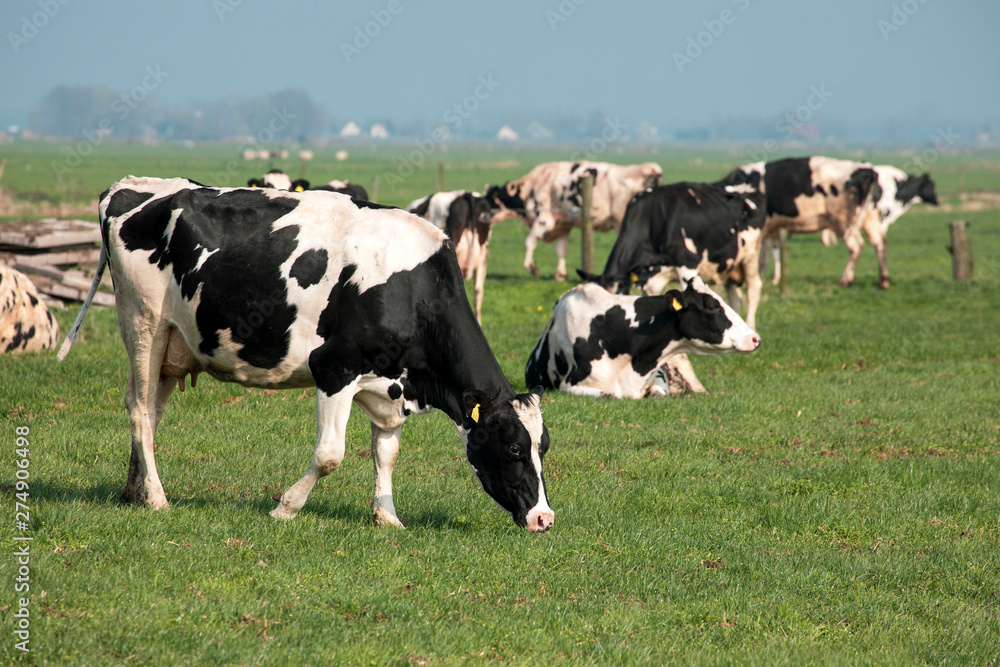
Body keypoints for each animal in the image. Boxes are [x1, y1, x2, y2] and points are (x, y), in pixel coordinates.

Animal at [486, 161, 664, 282]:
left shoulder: (544, 219)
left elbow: (529, 242)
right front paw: (560, 274)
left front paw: (533, 268)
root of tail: (649, 168)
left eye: (487, 201)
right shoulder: (564, 225)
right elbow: (561, 250)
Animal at [580, 183, 764, 332]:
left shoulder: (688, 262)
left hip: (752, 255)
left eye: (619, 294)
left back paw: (751, 326)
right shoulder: (648, 279)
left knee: (754, 287)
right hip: (729, 266)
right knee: (735, 297)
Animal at [720, 159, 884, 290]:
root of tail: (867, 170)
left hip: (844, 222)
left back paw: (846, 280)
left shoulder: (763, 228)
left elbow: (761, 251)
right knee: (879, 243)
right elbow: (773, 251)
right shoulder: (773, 227)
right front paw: (773, 278)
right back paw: (883, 280)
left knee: (856, 247)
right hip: (867, 219)